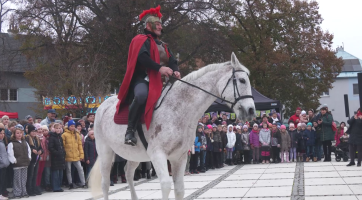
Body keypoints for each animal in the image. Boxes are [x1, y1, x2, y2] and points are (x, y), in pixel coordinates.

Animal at [89, 52, 256, 199]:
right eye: (242, 80)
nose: (251, 110)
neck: (177, 108)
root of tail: (102, 106)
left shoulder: (179, 156)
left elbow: (180, 189)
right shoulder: (157, 154)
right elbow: (166, 186)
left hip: (134, 154)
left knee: (128, 173)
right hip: (105, 152)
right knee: (105, 183)